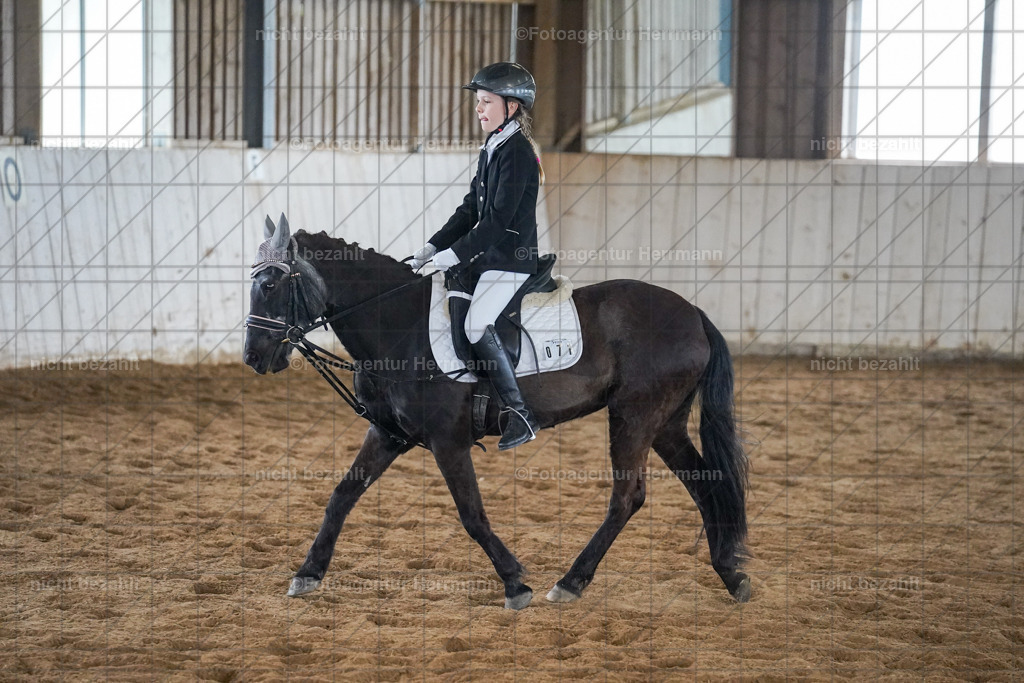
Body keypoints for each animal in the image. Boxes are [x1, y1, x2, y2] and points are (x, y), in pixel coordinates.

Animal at [243, 214, 750, 609]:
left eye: (269, 285)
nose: (253, 357)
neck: (399, 325)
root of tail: (693, 314)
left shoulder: (447, 442)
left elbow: (471, 514)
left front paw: (514, 581)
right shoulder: (387, 435)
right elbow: (341, 496)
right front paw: (307, 573)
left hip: (635, 417)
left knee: (627, 498)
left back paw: (570, 583)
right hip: (664, 424)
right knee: (706, 486)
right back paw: (731, 574)